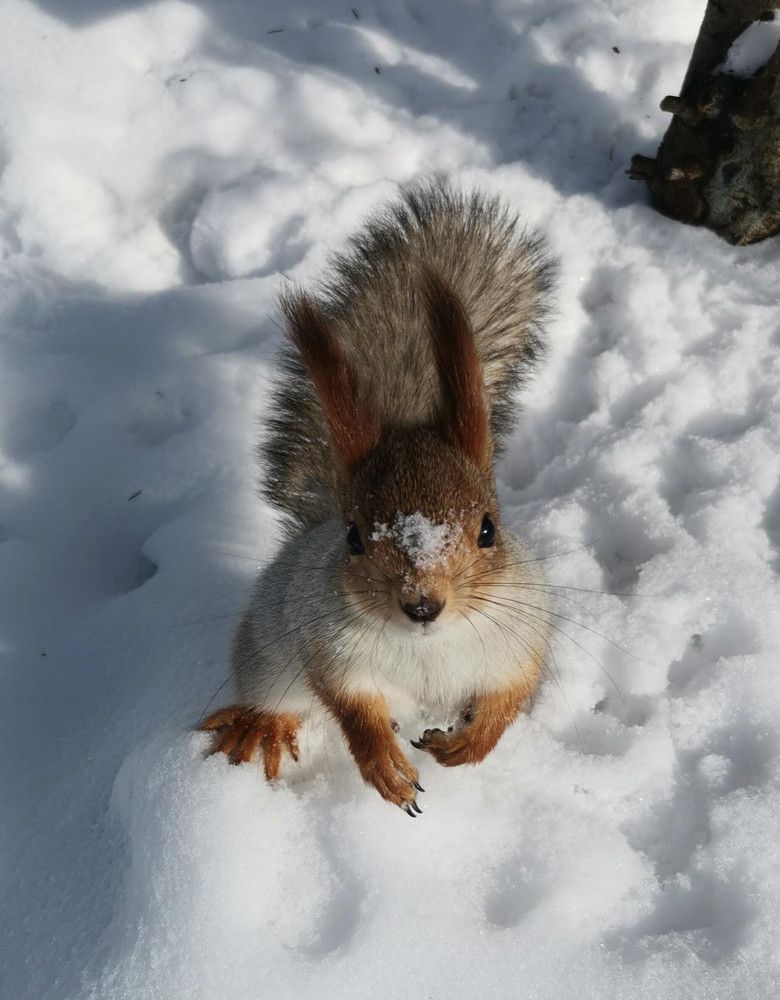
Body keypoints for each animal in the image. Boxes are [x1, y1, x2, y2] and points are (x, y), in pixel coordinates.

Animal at [200, 179, 556, 815]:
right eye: (354, 537)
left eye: (488, 528)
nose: (422, 605)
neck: (429, 648)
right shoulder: (331, 648)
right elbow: (351, 706)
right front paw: (384, 765)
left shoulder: (521, 632)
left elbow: (510, 696)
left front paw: (467, 745)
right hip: (268, 649)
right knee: (274, 693)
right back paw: (262, 725)